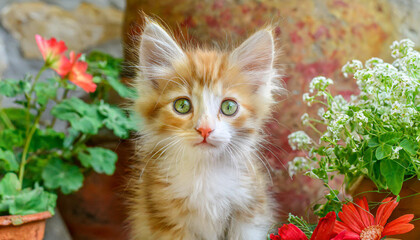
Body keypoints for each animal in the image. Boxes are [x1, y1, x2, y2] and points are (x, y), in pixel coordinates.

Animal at [126, 19, 280, 240]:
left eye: (229, 107)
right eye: (182, 105)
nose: (205, 129)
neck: (204, 172)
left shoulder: (250, 212)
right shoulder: (164, 218)